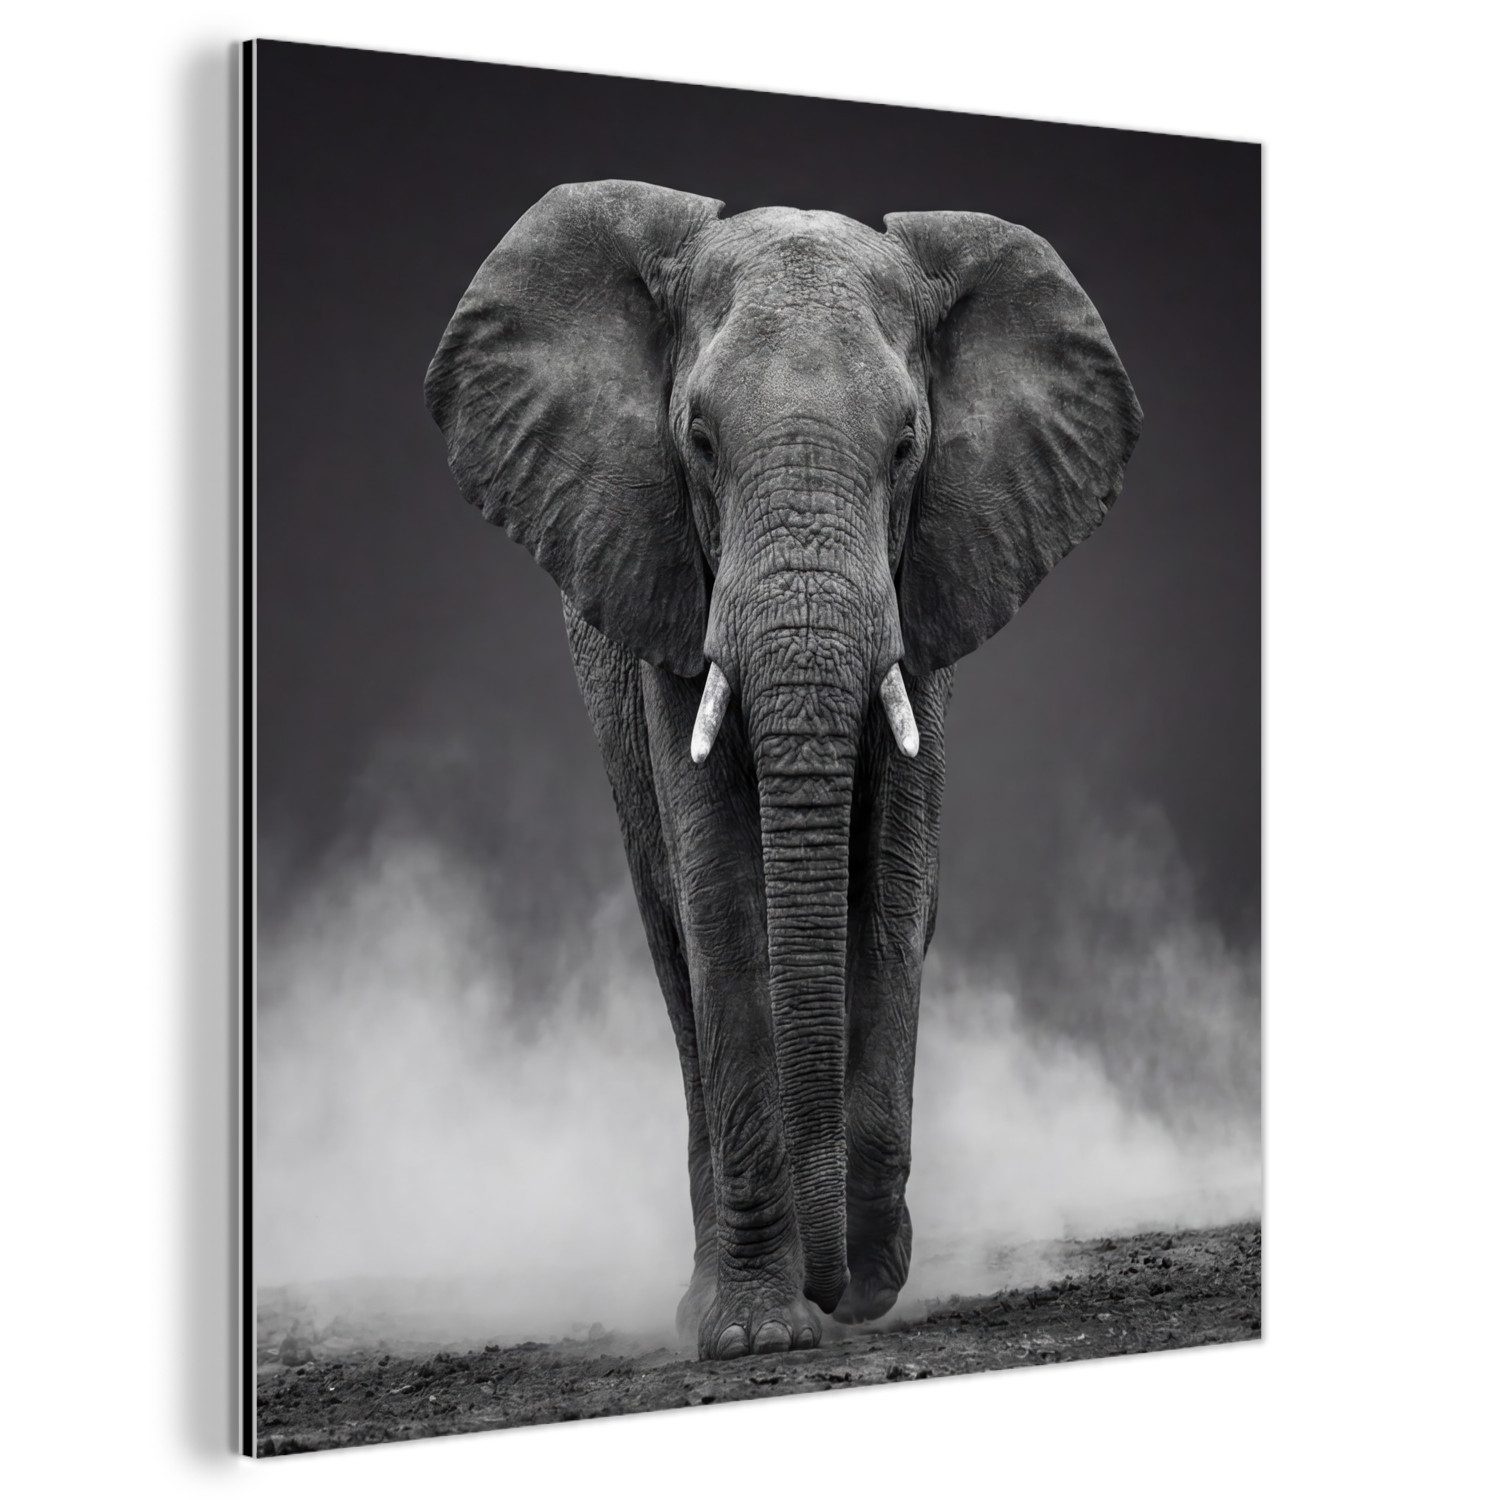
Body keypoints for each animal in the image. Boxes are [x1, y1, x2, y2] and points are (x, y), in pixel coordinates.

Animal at [426, 180, 1140, 1359]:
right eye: (700, 440)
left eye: (906, 447)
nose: (836, 1283)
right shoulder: (667, 587)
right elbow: (722, 900)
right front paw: (759, 1332)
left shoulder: (928, 588)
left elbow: (893, 892)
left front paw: (869, 1278)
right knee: (673, 942)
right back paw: (706, 1296)